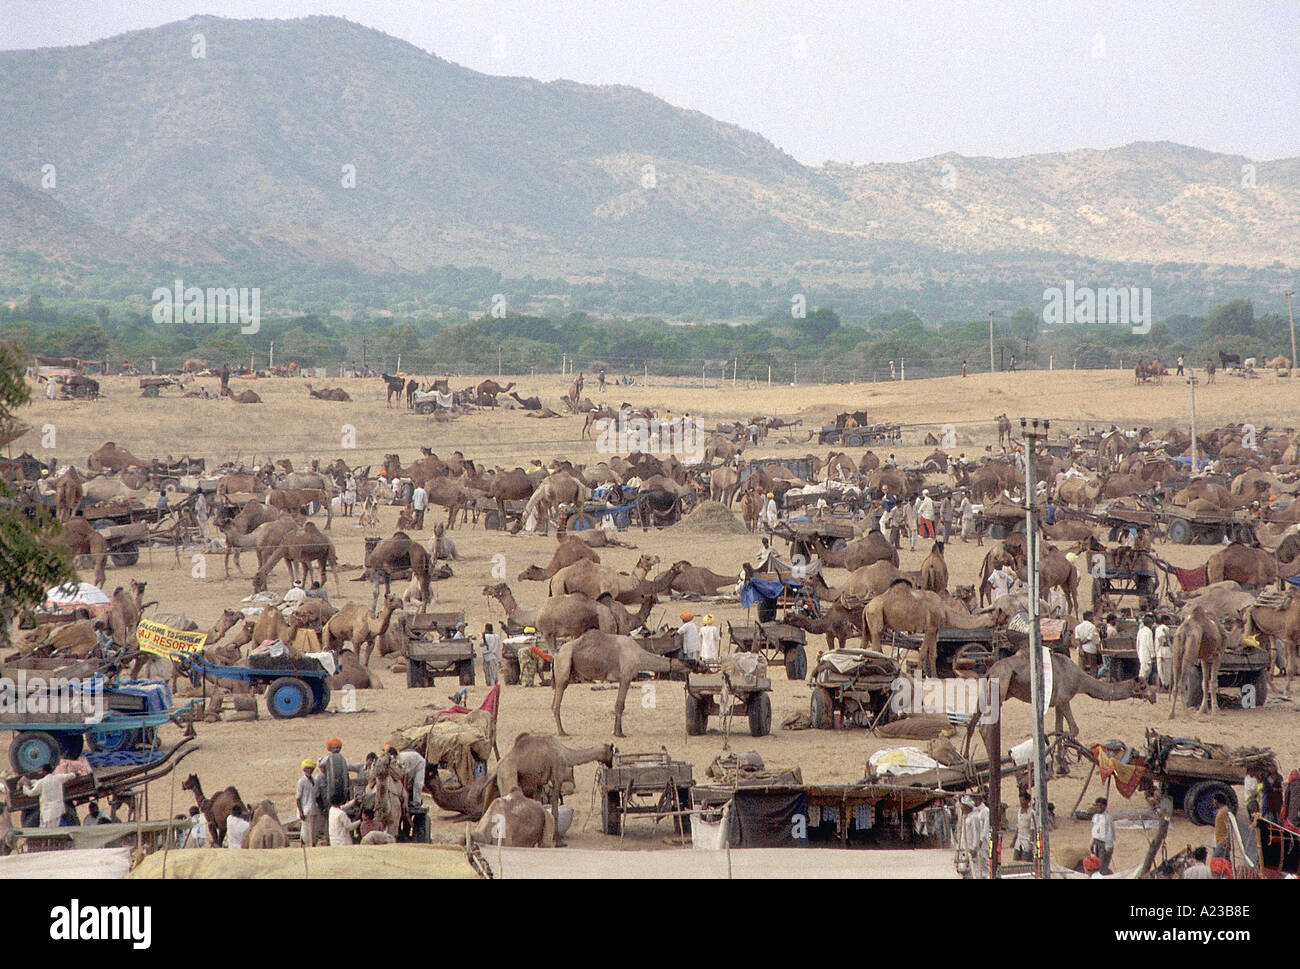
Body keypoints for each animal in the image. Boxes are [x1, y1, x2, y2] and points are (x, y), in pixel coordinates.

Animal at [548, 626, 691, 733]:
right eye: (678, 635)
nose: (694, 664)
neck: (639, 655)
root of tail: (556, 654)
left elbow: (619, 705)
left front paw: (617, 731)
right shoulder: (626, 677)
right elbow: (619, 706)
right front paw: (619, 733)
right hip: (564, 663)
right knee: (558, 698)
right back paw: (562, 732)